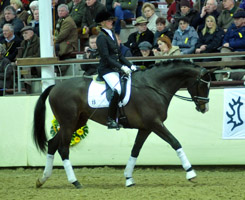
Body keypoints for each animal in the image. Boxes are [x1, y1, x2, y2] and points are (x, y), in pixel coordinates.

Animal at [33, 60, 212, 188]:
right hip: (68, 123)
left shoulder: (146, 128)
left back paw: (42, 179)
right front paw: (191, 173)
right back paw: (75, 182)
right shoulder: (155, 124)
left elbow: (135, 151)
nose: (204, 108)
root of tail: (55, 86)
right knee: (63, 148)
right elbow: (175, 142)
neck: (154, 86)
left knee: (52, 143)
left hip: (76, 122)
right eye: (203, 84)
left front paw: (128, 178)